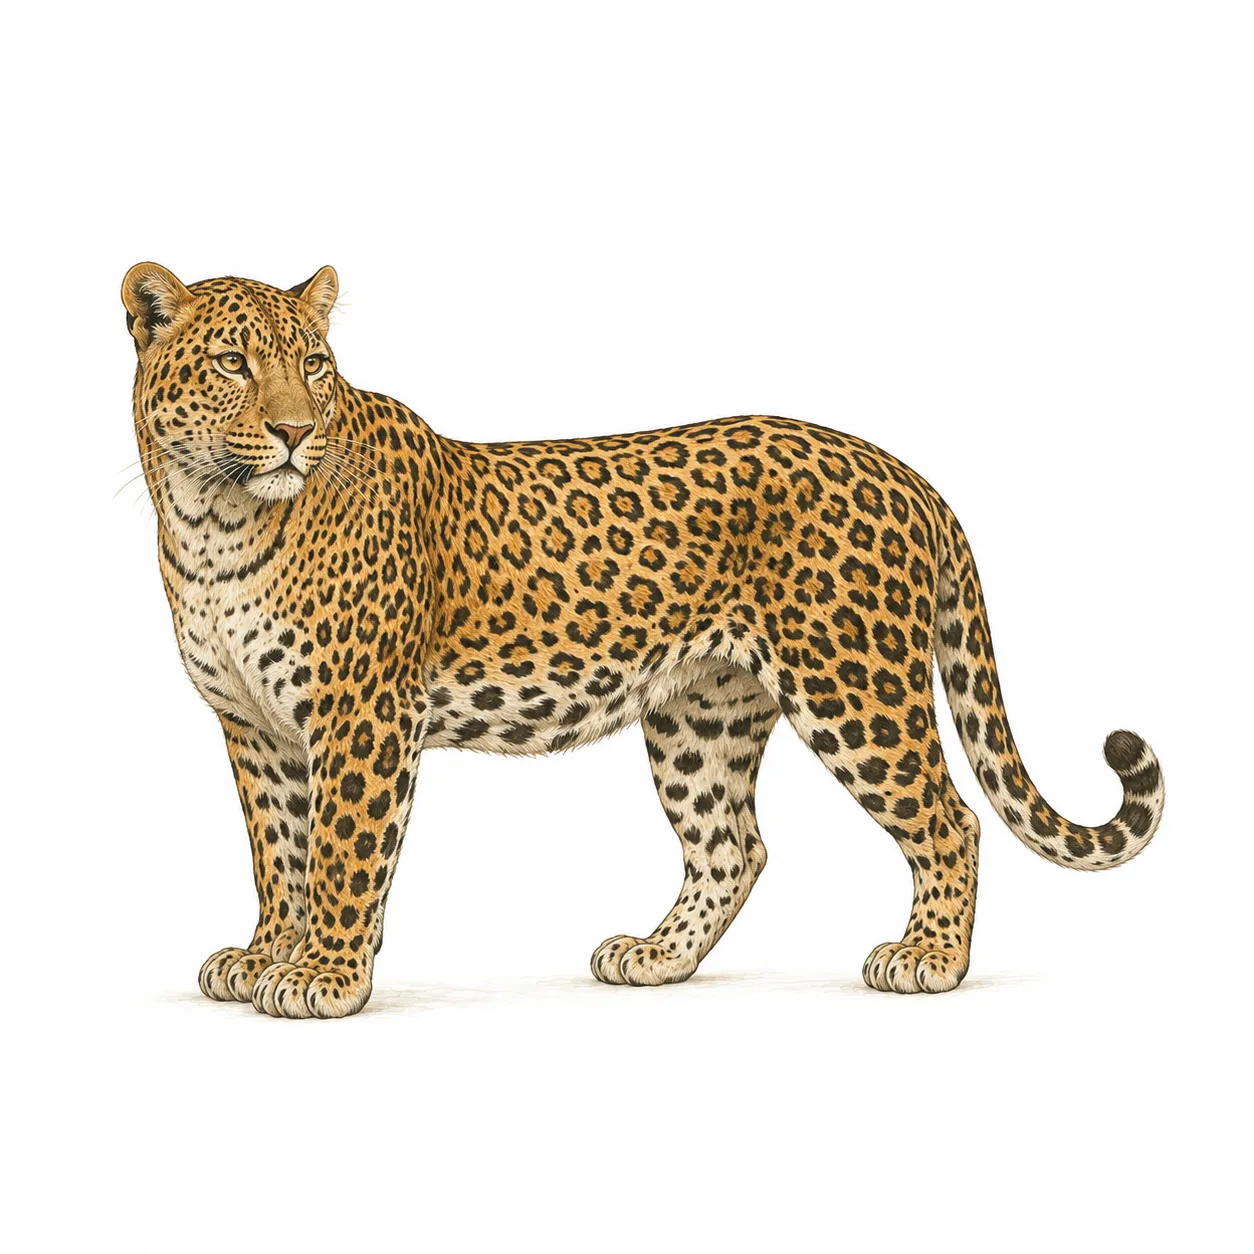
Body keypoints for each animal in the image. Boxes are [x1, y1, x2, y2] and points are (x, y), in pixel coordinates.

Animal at [122, 262, 1166, 1019]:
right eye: (232, 364)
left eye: (316, 365)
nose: (295, 432)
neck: (213, 521)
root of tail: (907, 474)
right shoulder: (255, 730)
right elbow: (279, 852)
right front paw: (266, 955)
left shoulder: (361, 717)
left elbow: (342, 852)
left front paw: (325, 977)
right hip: (702, 712)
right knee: (733, 846)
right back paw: (656, 957)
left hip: (854, 684)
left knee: (949, 819)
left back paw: (929, 959)